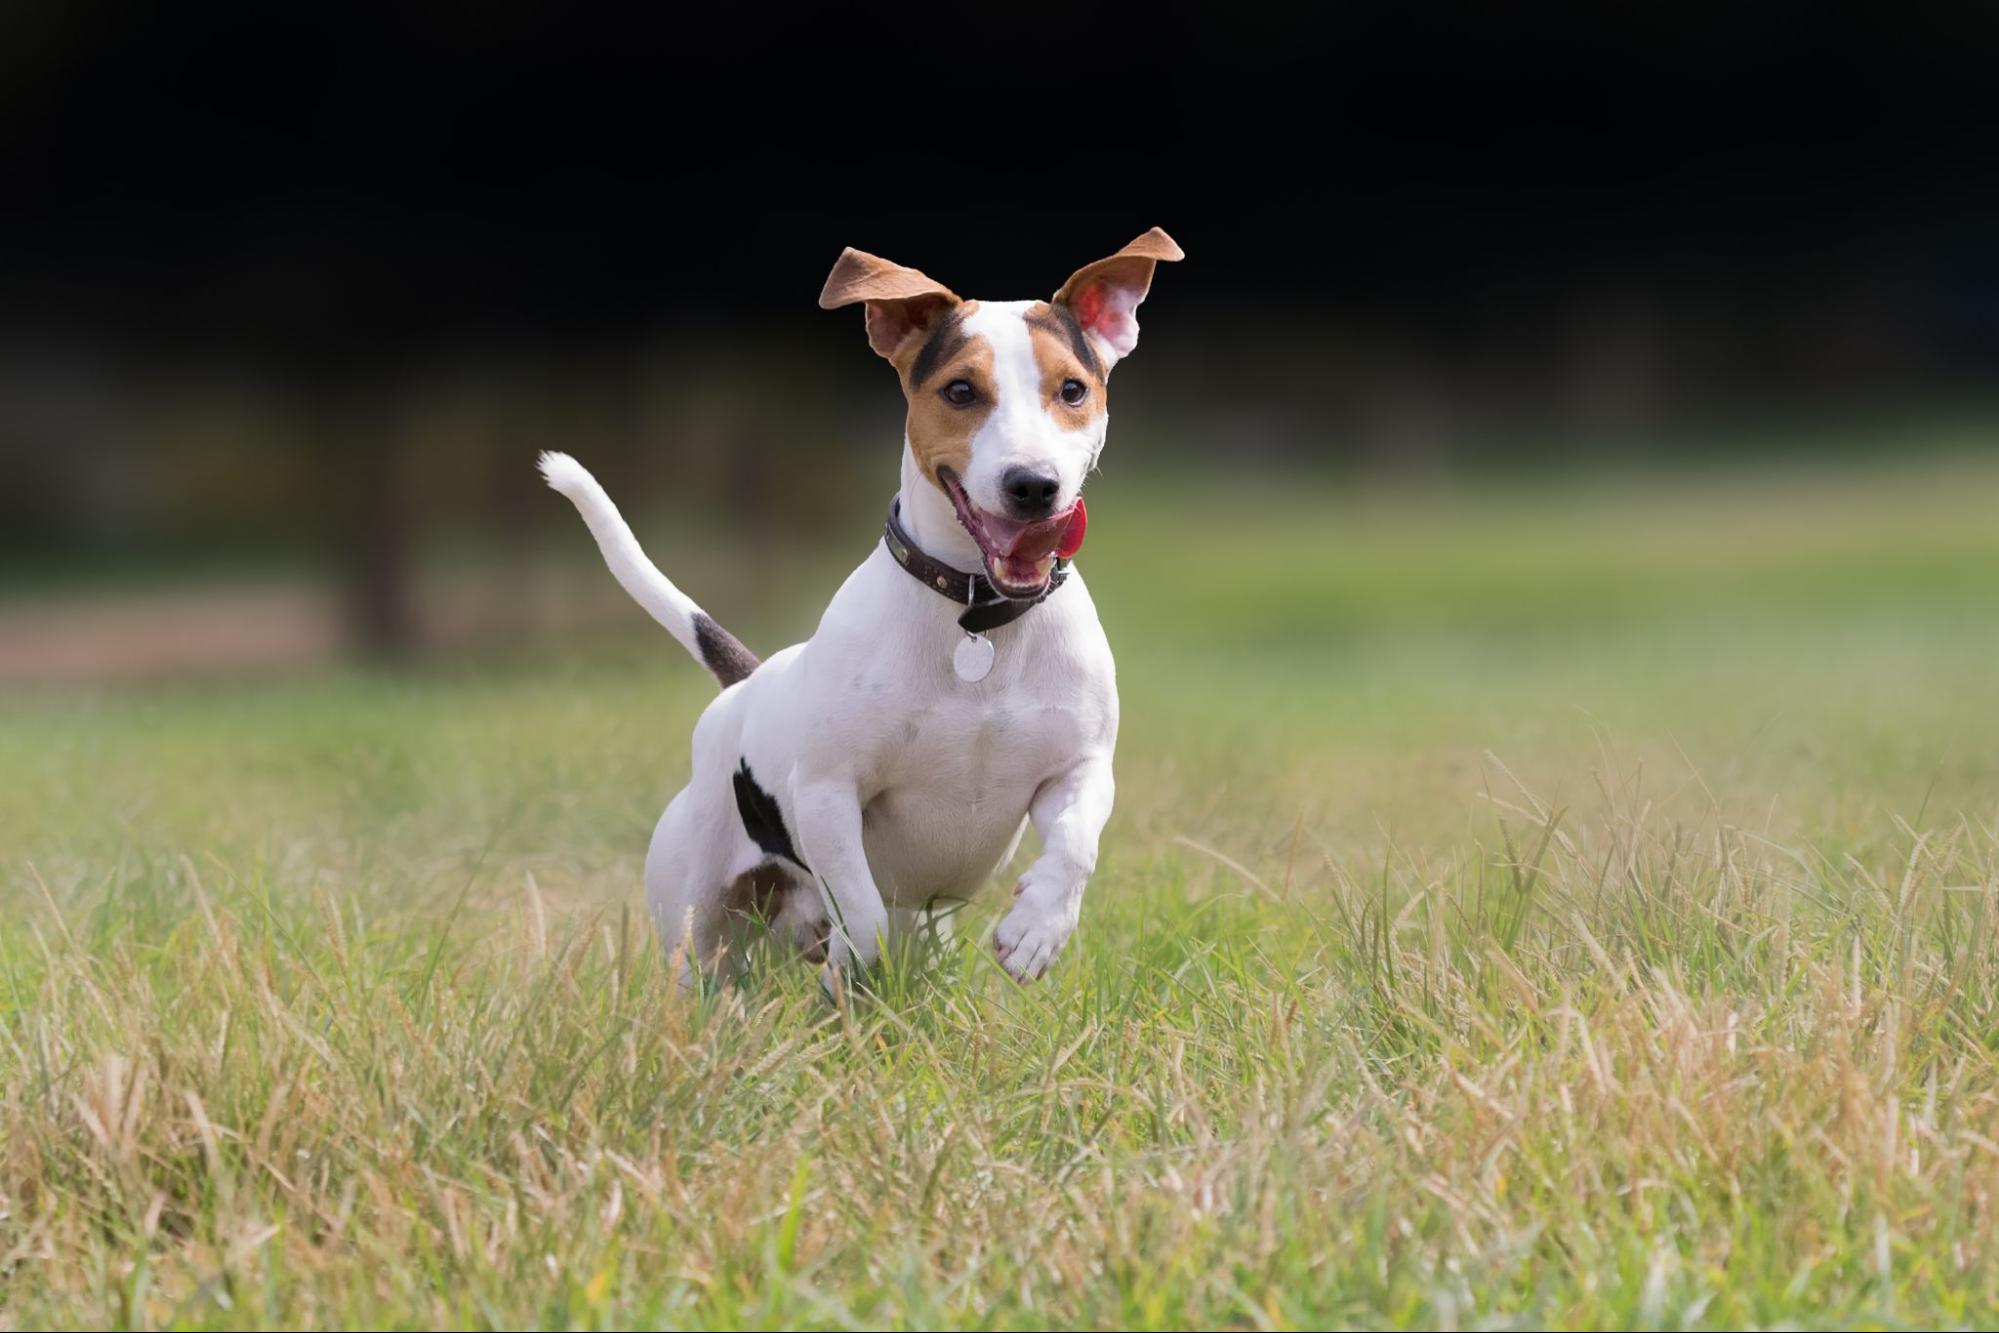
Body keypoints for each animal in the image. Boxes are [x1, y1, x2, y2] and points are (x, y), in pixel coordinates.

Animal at [539, 226, 1175, 991]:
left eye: (1073, 389)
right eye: (960, 390)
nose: (1033, 485)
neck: (977, 616)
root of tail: (745, 684)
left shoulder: (1077, 768)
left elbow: (1076, 842)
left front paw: (1038, 928)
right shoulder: (827, 792)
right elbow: (862, 915)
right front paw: (846, 964)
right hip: (697, 918)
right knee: (707, 964)